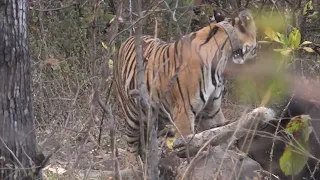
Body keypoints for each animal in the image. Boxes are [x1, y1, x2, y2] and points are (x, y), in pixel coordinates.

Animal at [114, 8, 258, 162]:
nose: (258, 48)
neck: (221, 60)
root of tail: (125, 41)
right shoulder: (183, 112)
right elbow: (186, 145)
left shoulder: (211, 111)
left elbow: (220, 133)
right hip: (132, 113)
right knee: (131, 146)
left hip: (157, 115)